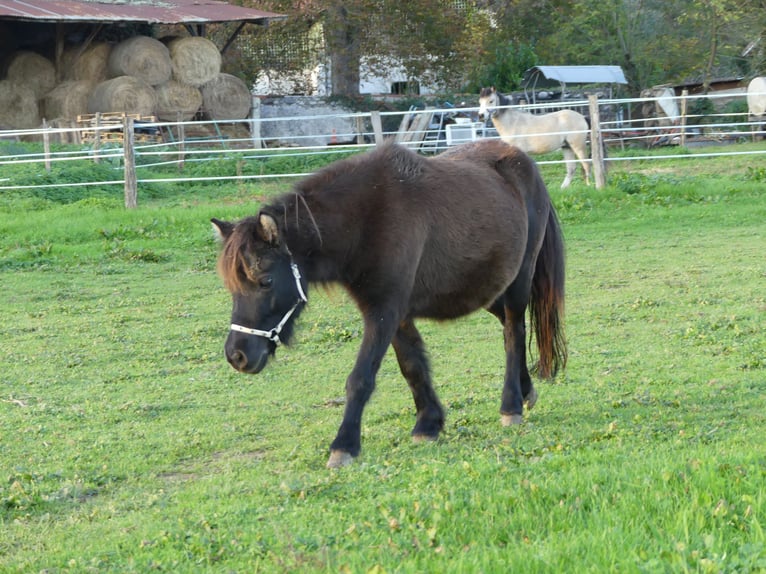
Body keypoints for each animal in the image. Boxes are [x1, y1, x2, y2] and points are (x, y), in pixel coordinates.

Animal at [211, 139, 567, 468]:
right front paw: (428, 424)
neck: (367, 218)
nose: (237, 356)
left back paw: (511, 405)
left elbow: (360, 378)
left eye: (265, 281)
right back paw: (526, 390)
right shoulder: (396, 313)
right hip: (486, 289)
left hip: (519, 279)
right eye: (231, 286)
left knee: (514, 332)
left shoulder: (384, 311)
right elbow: (412, 366)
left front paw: (344, 446)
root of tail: (522, 160)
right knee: (510, 327)